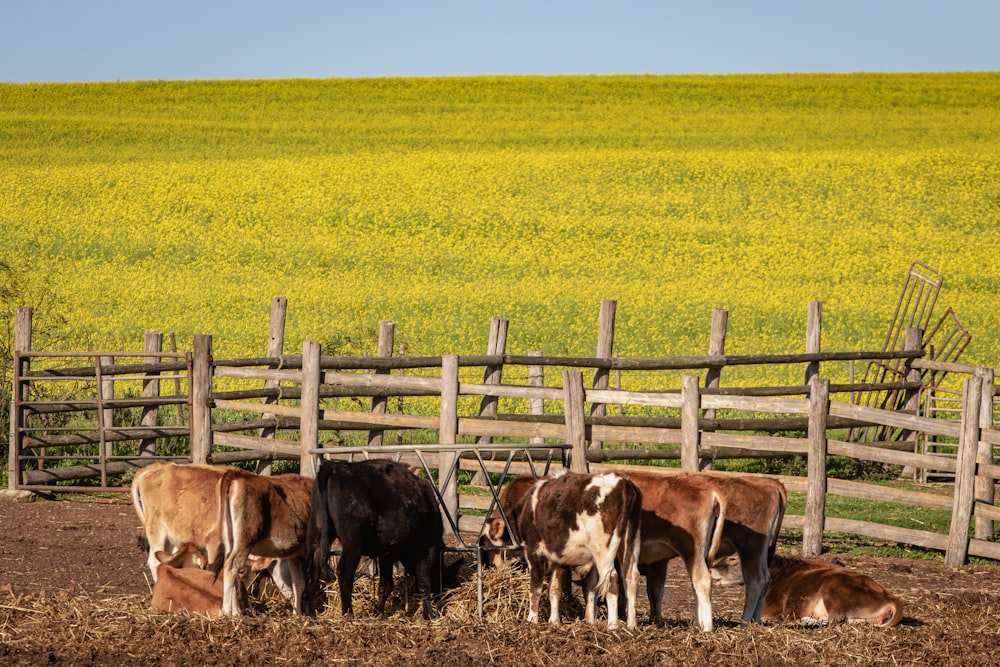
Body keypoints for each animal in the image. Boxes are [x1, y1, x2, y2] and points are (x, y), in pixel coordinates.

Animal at [215, 464, 312, 616]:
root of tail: (237, 475)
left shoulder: (294, 554)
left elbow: (298, 583)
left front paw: (297, 613)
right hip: (245, 540)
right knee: (231, 567)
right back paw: (228, 612)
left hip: (229, 539)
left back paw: (236, 611)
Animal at [300, 460, 450, 620]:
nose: (442, 592)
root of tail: (336, 466)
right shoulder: (427, 549)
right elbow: (423, 583)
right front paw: (430, 614)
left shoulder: (387, 554)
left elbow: (386, 585)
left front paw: (378, 612)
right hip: (353, 545)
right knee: (344, 572)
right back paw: (348, 613)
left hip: (317, 535)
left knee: (312, 569)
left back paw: (311, 613)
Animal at [712, 552, 908, 628]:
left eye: (732, 558)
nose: (711, 568)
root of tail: (889, 594)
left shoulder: (771, 609)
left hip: (833, 588)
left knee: (835, 620)